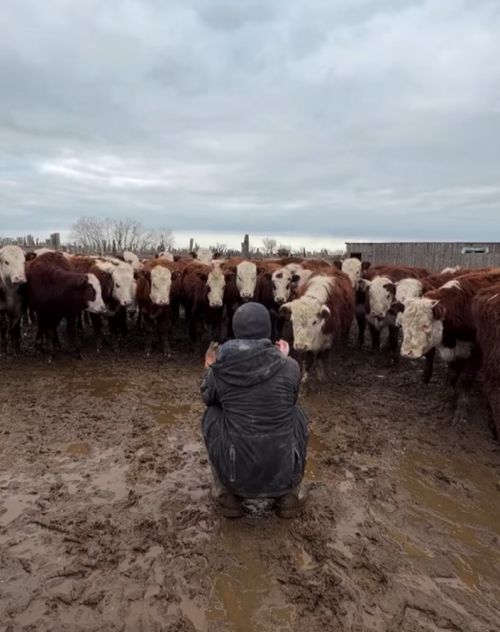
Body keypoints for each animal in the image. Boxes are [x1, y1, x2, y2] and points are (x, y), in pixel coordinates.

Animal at [400, 270, 500, 423]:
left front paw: (461, 411)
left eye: (426, 325)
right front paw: (447, 404)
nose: (406, 352)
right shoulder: (452, 353)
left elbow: (464, 381)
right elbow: (452, 378)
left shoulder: (477, 354)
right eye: (403, 324)